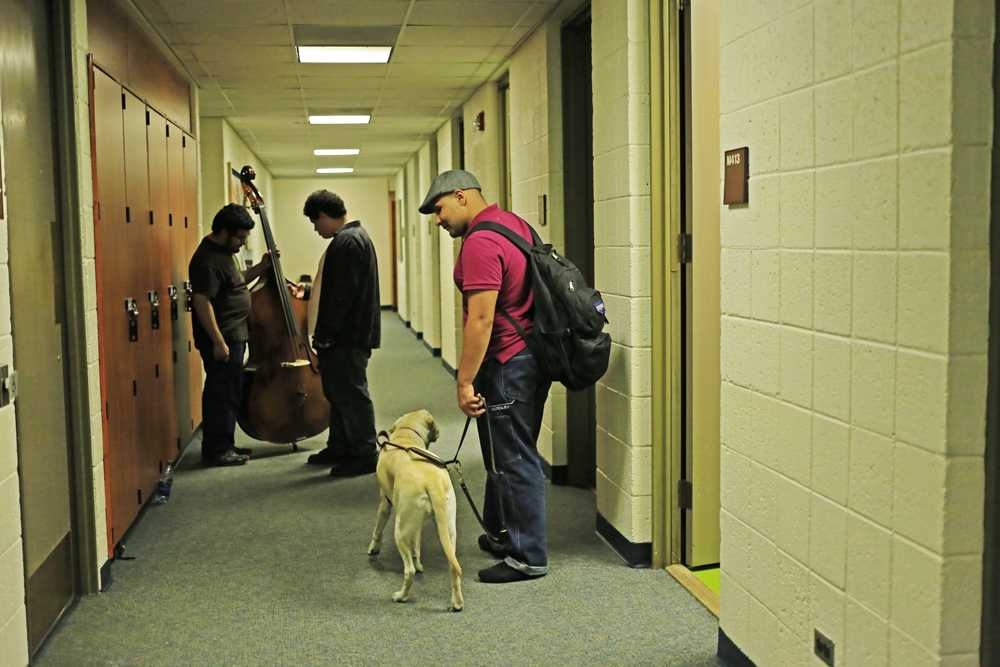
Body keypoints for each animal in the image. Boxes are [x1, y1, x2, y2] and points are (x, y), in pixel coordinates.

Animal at [366, 410, 462, 612]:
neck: (406, 434)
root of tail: (433, 482)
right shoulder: (415, 523)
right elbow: (416, 543)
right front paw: (419, 562)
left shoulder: (385, 502)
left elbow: (378, 529)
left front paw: (373, 548)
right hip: (448, 529)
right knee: (453, 566)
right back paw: (457, 604)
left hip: (399, 530)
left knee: (408, 571)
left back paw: (401, 596)